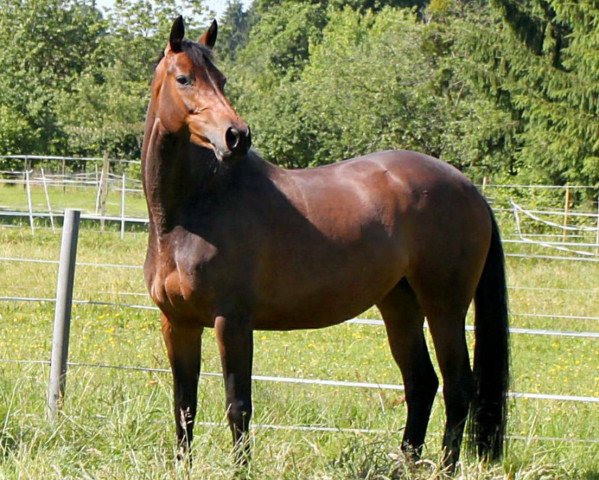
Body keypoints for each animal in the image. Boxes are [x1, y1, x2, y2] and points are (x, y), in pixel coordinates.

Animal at [142, 17, 510, 468]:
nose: (236, 137)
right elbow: (184, 405)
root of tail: (469, 189)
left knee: (458, 387)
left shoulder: (233, 322)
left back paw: (443, 468)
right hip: (400, 305)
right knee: (421, 382)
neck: (191, 210)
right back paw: (405, 464)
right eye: (184, 78)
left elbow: (237, 405)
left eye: (222, 79)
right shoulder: (177, 323)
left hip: (445, 308)